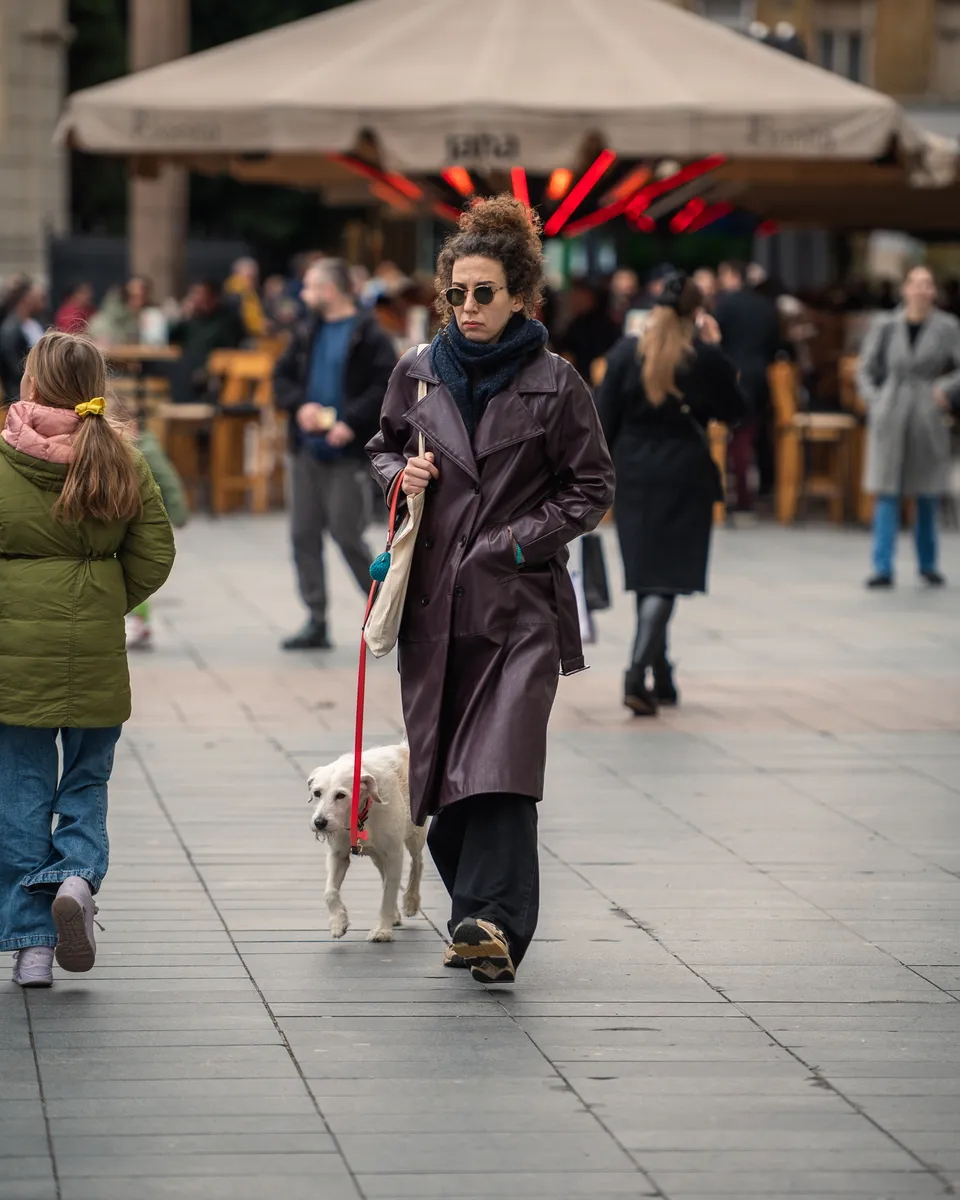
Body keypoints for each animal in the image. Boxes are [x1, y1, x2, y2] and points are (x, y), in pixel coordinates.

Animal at [307, 739, 427, 945]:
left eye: (340, 795)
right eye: (317, 793)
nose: (319, 823)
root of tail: (403, 747)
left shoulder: (394, 855)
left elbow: (388, 893)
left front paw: (382, 930)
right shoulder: (338, 855)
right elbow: (330, 892)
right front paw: (338, 922)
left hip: (415, 834)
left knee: (417, 862)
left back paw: (411, 901)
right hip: (377, 855)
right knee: (386, 875)